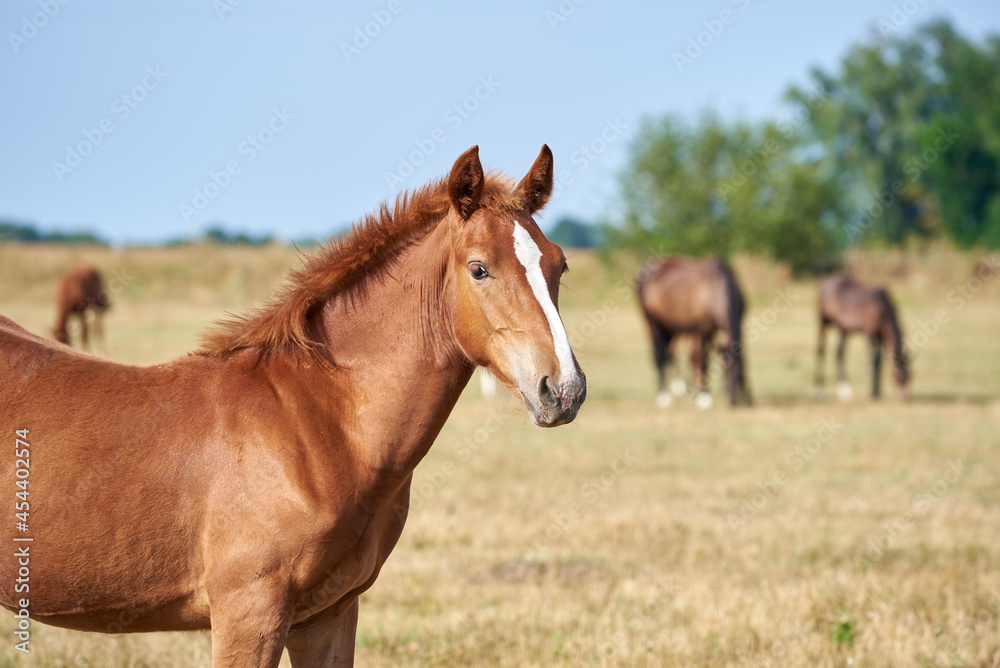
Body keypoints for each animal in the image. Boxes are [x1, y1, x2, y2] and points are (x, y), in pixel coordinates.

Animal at [0, 146, 584, 668]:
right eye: (479, 269)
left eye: (559, 265)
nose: (565, 390)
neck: (318, 423)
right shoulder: (248, 614)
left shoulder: (327, 615)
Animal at [636, 256, 748, 408]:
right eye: (725, 372)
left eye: (739, 372)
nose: (732, 401)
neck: (715, 288)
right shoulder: (701, 331)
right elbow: (701, 360)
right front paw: (704, 397)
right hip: (653, 323)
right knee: (659, 356)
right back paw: (664, 396)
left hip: (671, 328)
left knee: (670, 353)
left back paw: (680, 388)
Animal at [816, 272, 912, 400]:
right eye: (900, 376)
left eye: (911, 376)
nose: (906, 398)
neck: (883, 307)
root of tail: (826, 280)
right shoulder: (871, 333)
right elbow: (875, 360)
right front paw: (874, 392)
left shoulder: (879, 336)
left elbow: (880, 361)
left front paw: (878, 391)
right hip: (823, 322)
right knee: (821, 350)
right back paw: (819, 391)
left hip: (843, 330)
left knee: (839, 353)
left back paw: (844, 391)